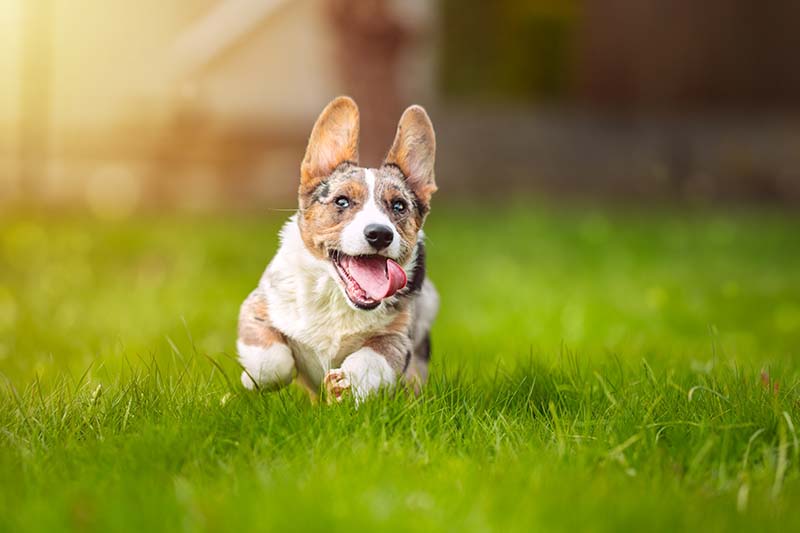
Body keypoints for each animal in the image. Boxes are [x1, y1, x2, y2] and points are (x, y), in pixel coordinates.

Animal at [238, 97, 438, 402]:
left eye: (399, 206)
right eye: (342, 201)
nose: (380, 234)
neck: (336, 295)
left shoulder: (398, 337)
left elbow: (370, 360)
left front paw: (344, 383)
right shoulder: (257, 308)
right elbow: (273, 364)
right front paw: (248, 383)